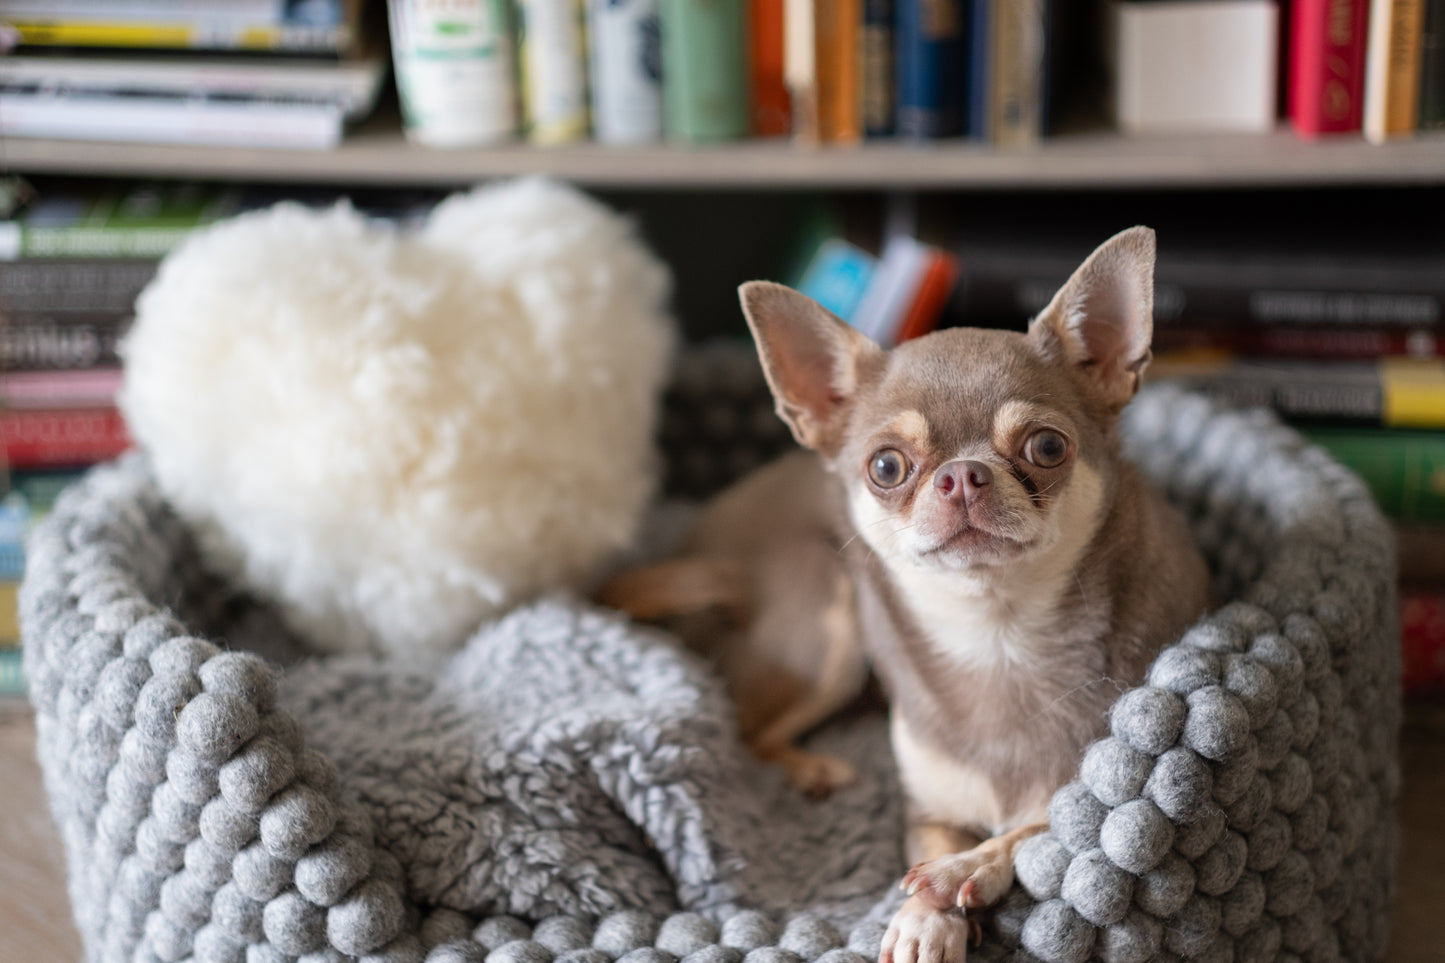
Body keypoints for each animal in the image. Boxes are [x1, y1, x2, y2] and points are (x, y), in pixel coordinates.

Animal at [595, 227, 1208, 960]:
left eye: (1047, 447)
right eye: (886, 466)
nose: (963, 475)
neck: (997, 635)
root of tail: (704, 544)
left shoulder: (1098, 797)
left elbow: (1031, 826)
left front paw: (959, 872)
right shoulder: (928, 809)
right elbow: (938, 845)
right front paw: (923, 916)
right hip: (828, 617)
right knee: (747, 728)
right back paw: (811, 769)